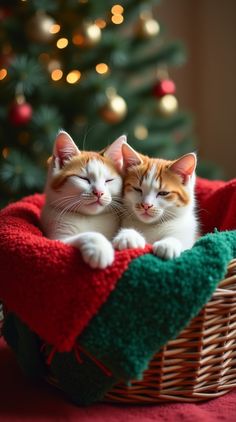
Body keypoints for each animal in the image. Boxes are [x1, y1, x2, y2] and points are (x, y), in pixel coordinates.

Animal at [41, 130, 125, 268]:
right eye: (83, 179)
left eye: (109, 180)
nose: (99, 192)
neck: (89, 217)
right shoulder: (56, 239)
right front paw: (100, 247)